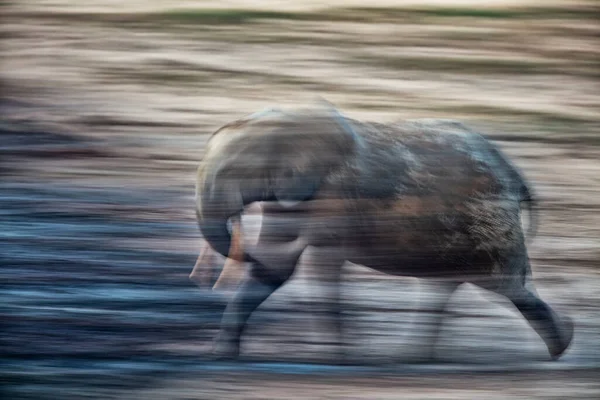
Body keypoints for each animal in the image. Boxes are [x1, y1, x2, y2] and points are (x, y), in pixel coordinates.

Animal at [195, 102, 576, 362]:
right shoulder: (291, 198)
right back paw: (409, 357)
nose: (242, 252)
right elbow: (277, 267)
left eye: (233, 172)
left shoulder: (333, 197)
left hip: (490, 224)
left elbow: (320, 264)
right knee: (447, 287)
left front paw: (336, 359)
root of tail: (517, 176)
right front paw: (221, 355)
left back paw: (562, 347)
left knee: (507, 287)